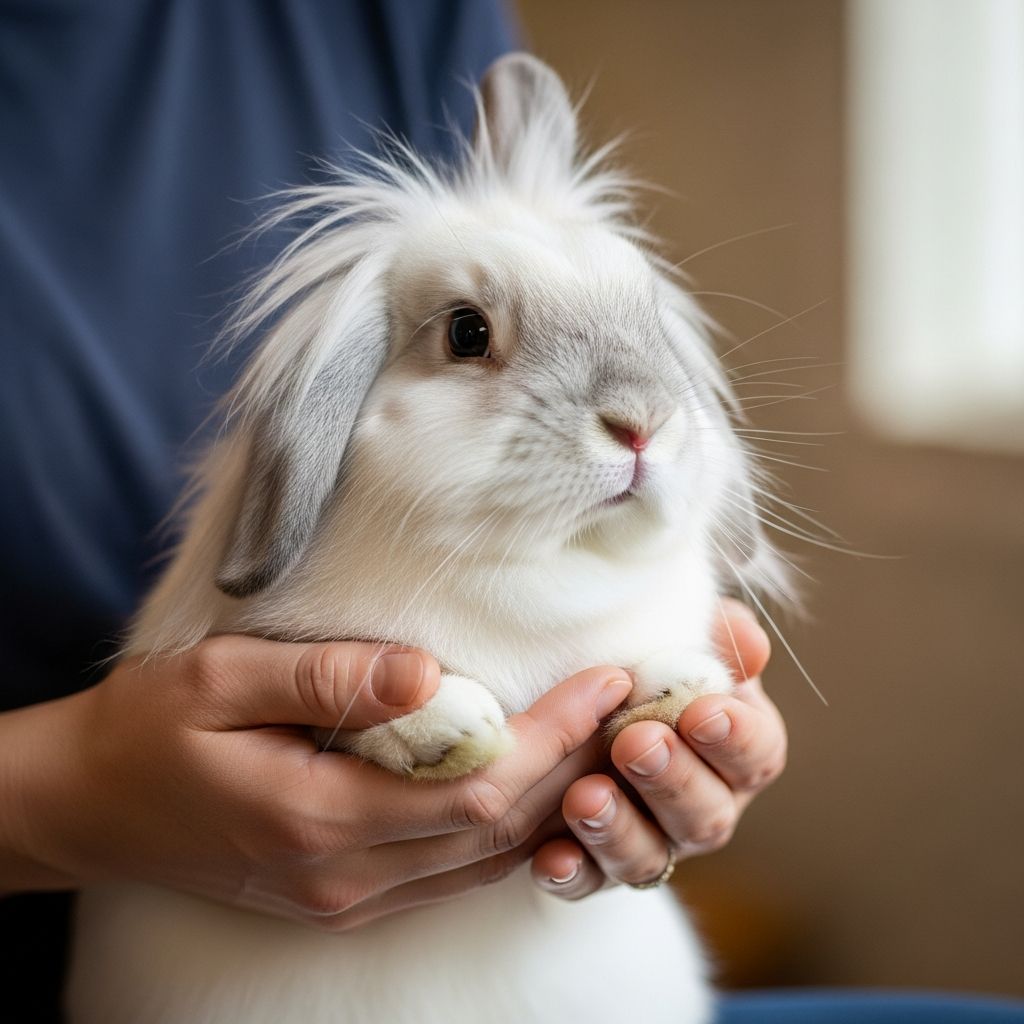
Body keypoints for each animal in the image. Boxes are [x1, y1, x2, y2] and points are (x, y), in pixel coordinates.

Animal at [67, 53, 788, 1024]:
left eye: (645, 315)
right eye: (467, 331)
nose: (641, 423)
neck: (537, 569)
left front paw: (676, 688)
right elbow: (345, 716)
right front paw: (446, 727)